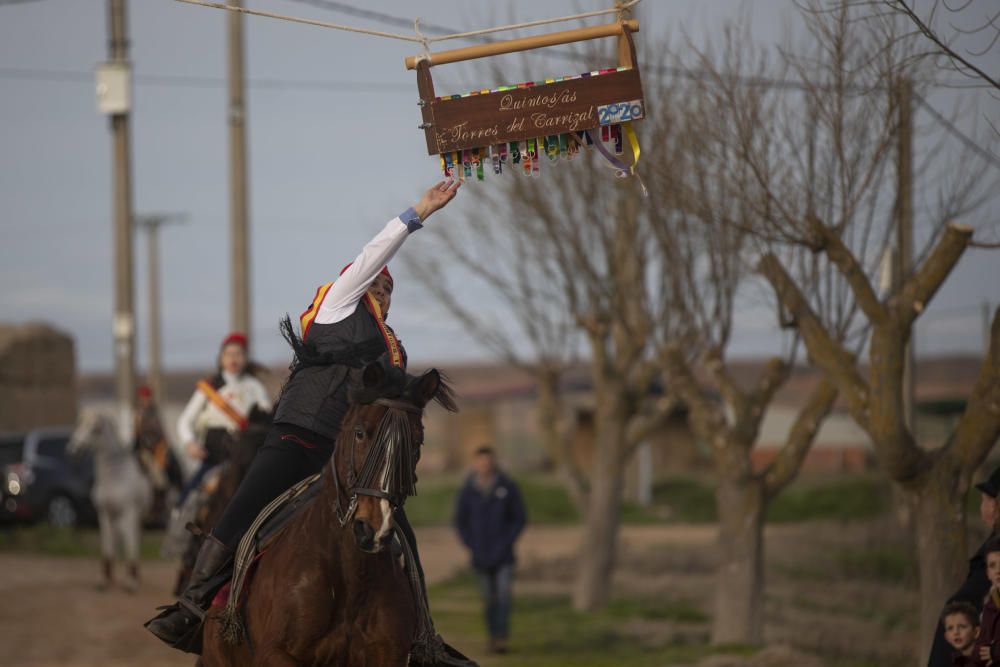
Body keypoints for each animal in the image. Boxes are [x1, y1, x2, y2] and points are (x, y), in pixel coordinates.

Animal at [69, 412, 153, 596]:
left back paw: (135, 577)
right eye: (79, 424)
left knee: (134, 541)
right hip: (116, 520)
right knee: (117, 541)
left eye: (95, 429)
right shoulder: (104, 515)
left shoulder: (129, 514)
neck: (114, 477)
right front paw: (104, 582)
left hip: (137, 518)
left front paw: (130, 583)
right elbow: (108, 547)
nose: (74, 450)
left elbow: (130, 546)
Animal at [200, 368, 458, 664]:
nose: (373, 530)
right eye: (360, 433)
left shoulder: (388, 655)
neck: (349, 578)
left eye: (416, 442)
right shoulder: (275, 653)